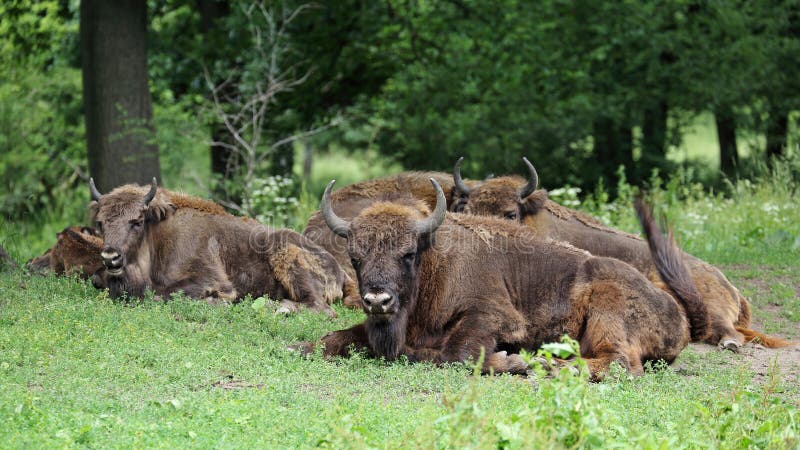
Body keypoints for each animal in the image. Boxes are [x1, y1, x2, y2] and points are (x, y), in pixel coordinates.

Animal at [88, 177, 354, 316]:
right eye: (100, 222)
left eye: (137, 221)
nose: (110, 257)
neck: (158, 236)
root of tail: (341, 271)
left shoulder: (211, 280)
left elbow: (159, 294)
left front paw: (218, 303)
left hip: (287, 257)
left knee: (319, 307)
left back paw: (277, 307)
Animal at [310, 178, 708, 380]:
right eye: (355, 258)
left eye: (407, 254)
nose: (378, 301)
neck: (433, 263)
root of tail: (676, 315)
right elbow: (328, 341)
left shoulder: (495, 316)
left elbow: (458, 353)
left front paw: (513, 361)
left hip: (607, 309)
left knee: (619, 362)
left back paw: (547, 364)